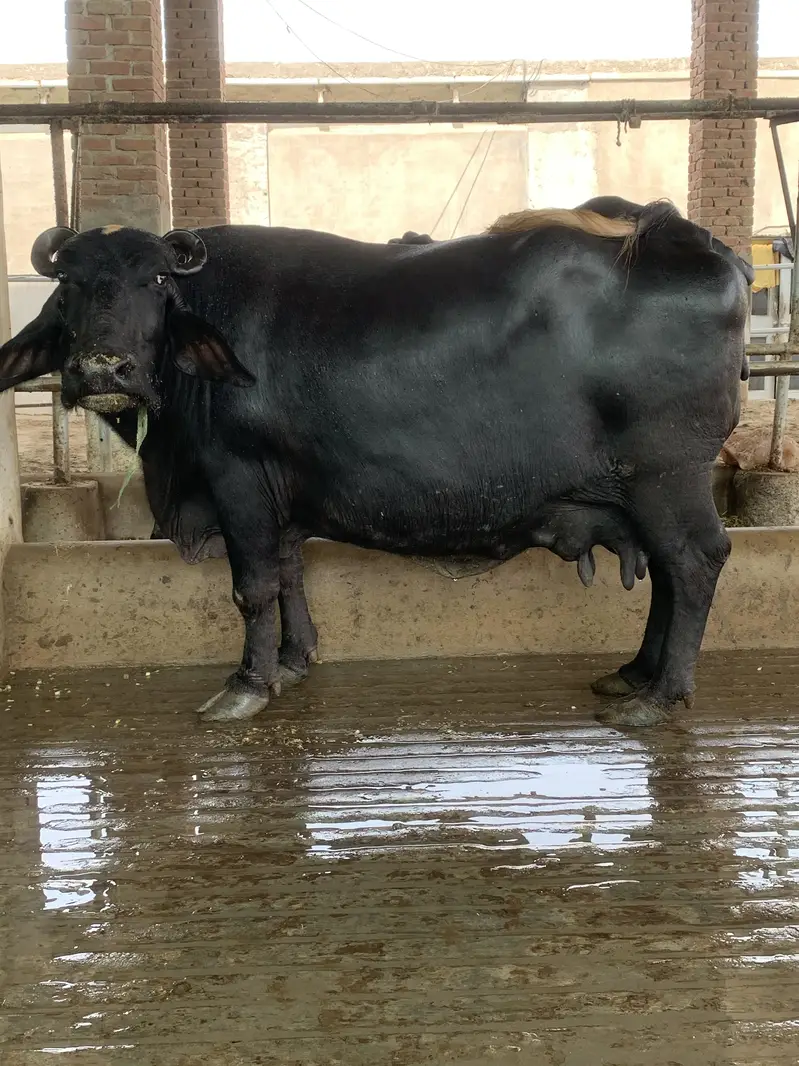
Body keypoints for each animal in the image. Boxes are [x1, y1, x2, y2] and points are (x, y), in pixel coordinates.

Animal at [0, 202, 752, 728]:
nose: (103, 367)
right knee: (667, 574)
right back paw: (633, 673)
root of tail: (696, 245)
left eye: (155, 280)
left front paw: (246, 685)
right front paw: (294, 661)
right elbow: (289, 572)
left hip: (668, 479)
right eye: (68, 286)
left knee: (693, 563)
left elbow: (252, 587)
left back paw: (658, 695)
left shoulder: (237, 476)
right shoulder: (282, 492)